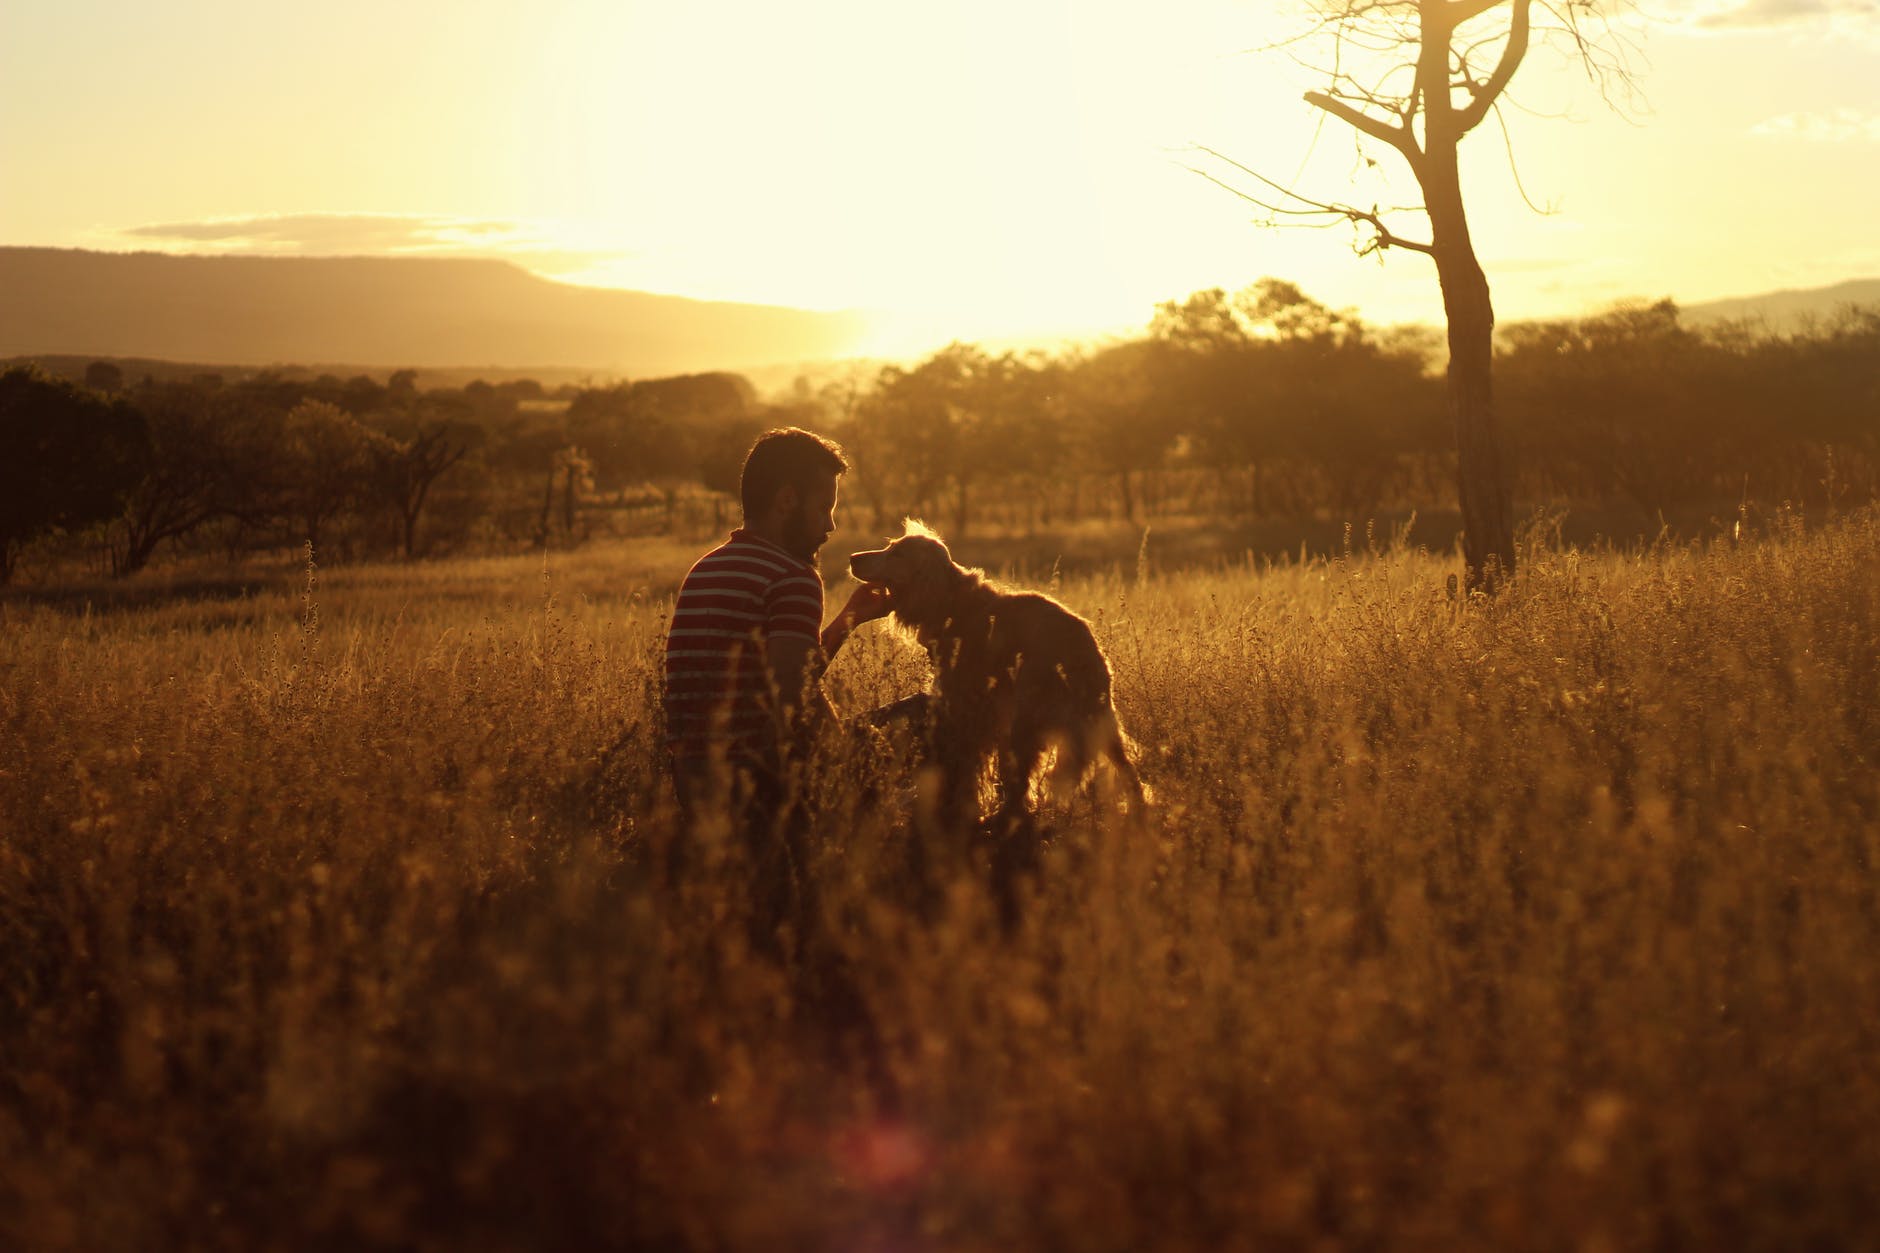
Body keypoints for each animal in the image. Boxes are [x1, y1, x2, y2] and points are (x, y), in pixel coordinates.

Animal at [849, 515, 1143, 827]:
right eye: (889, 547)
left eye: (896, 553)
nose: (854, 558)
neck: (951, 603)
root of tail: (1084, 646)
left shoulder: (968, 709)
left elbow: (965, 766)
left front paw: (958, 808)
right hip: (1099, 719)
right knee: (1125, 768)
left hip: (1028, 719)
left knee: (1021, 779)